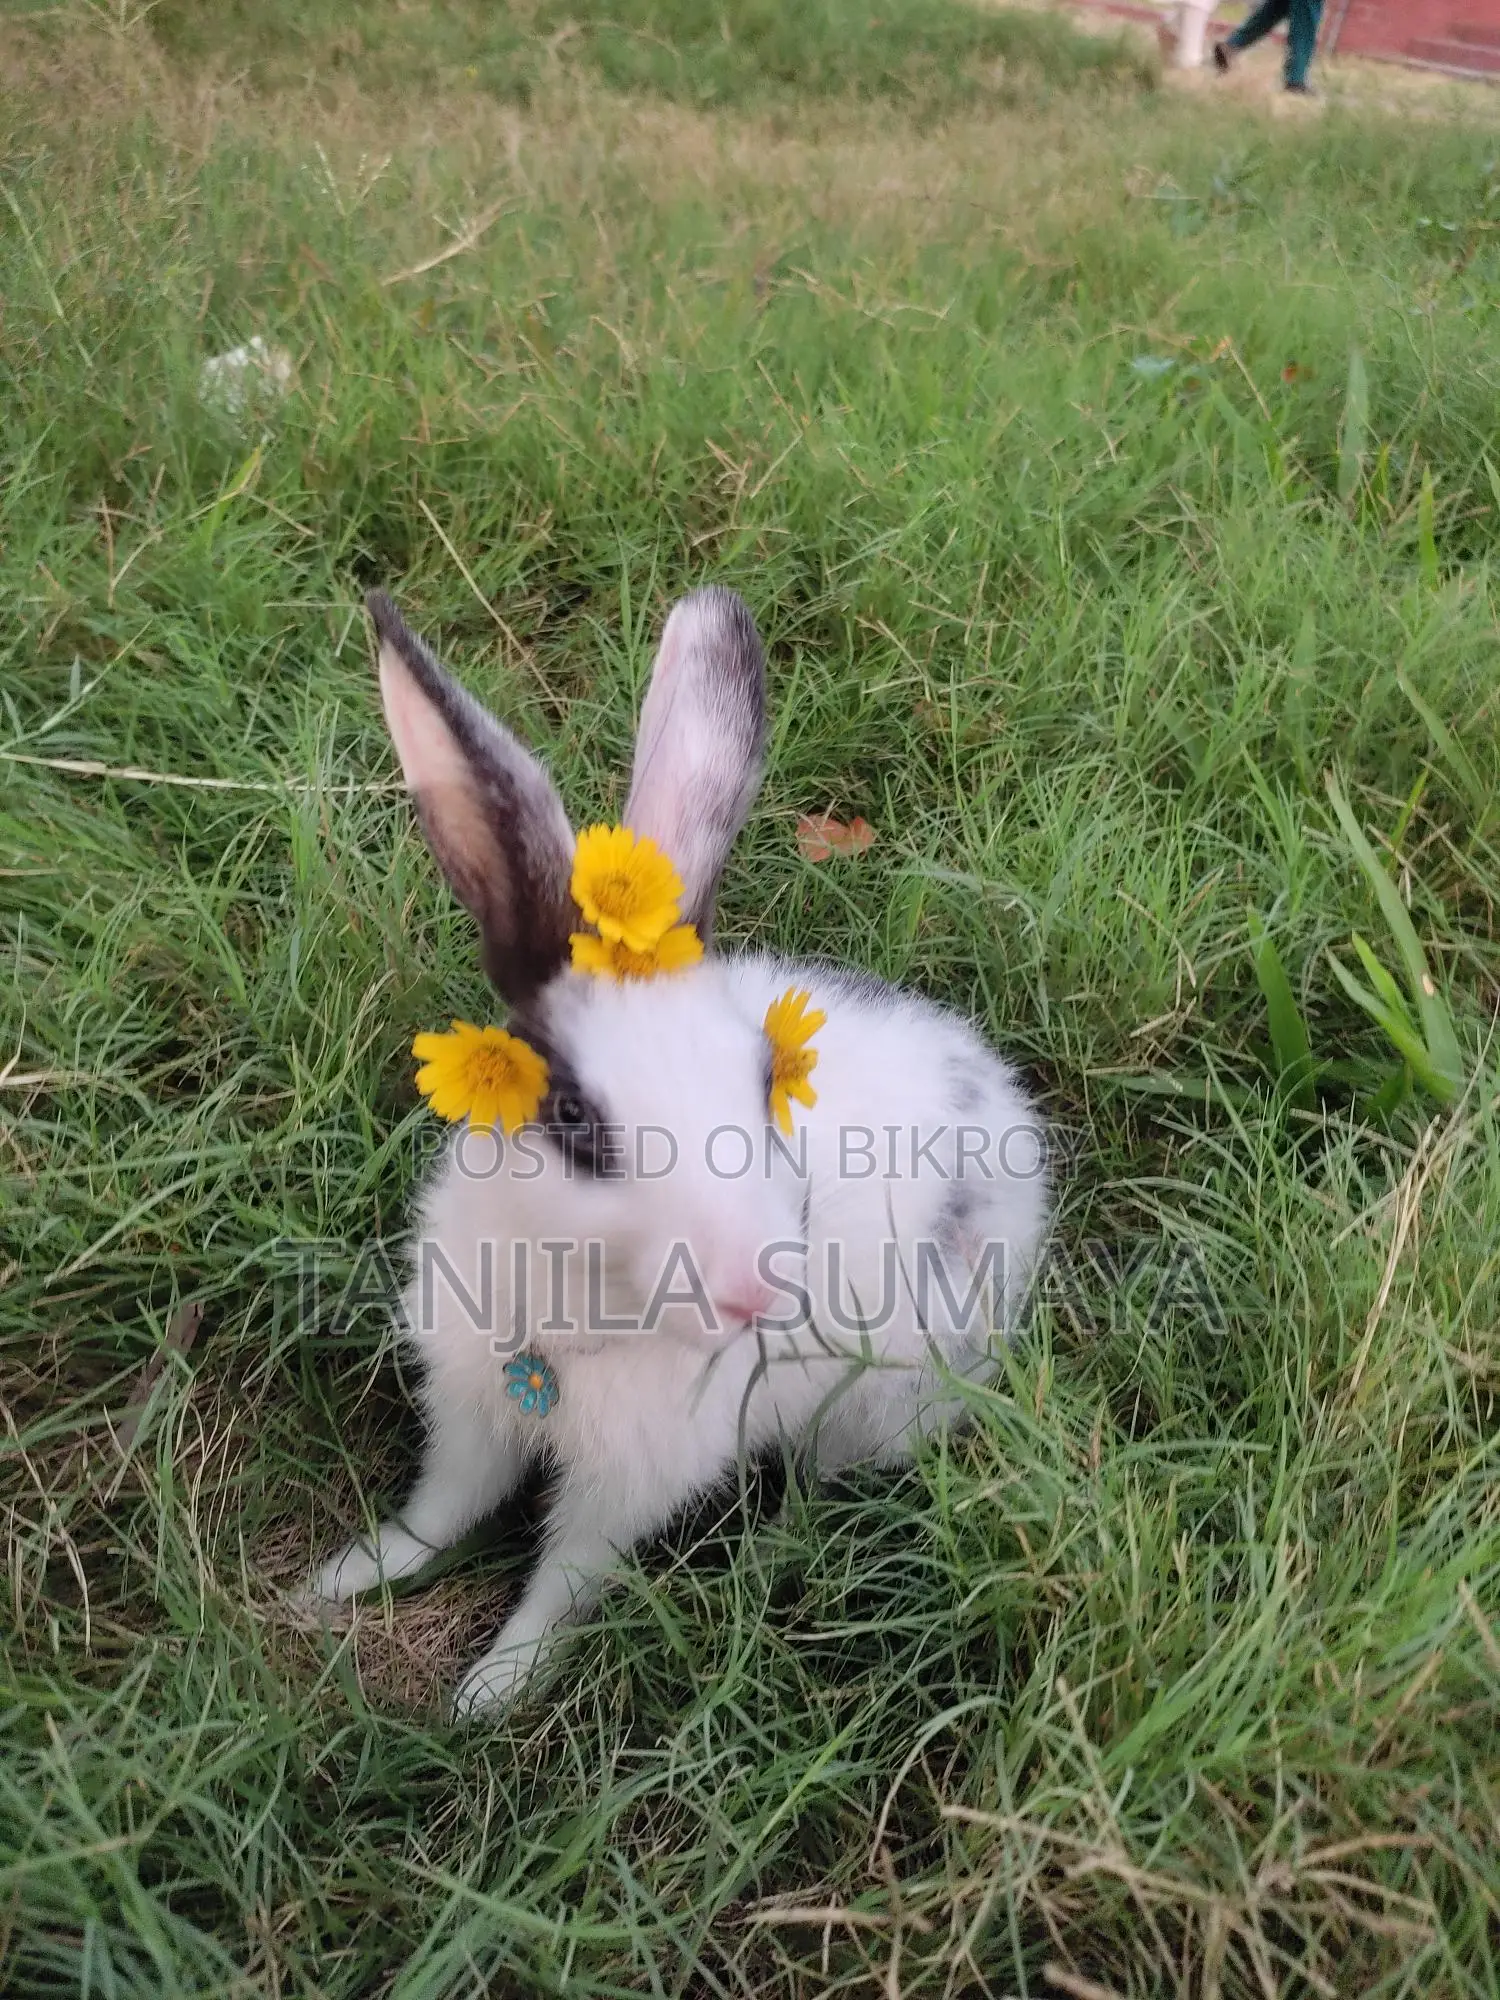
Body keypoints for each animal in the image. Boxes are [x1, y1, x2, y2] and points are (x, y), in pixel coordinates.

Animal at [308, 584, 1050, 1717]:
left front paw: (489, 1691)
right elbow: (438, 1511)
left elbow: (560, 1583)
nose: (759, 1292)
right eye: (573, 1117)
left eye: (761, 1080)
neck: (568, 1328)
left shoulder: (626, 1486)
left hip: (873, 1408)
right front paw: (343, 1579)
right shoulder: (470, 1412)